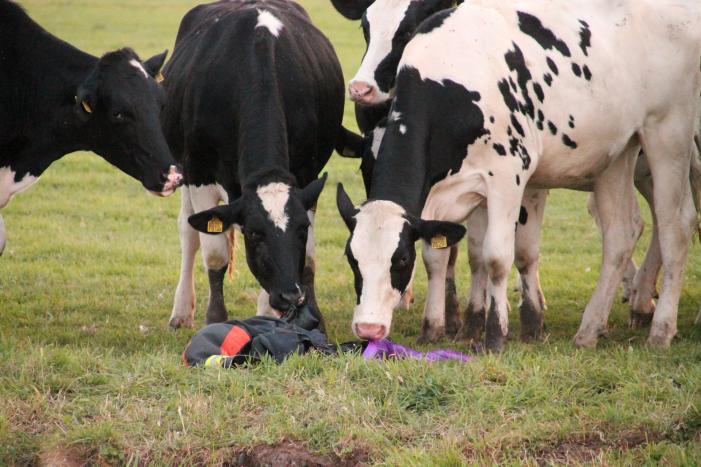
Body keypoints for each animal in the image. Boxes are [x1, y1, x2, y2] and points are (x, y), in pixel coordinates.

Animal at [162, 0, 345, 329]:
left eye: (300, 229)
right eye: (255, 234)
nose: (289, 296)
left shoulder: (306, 177)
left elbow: (309, 257)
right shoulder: (199, 174)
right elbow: (215, 254)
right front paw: (215, 319)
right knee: (188, 232)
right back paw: (181, 310)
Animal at [336, 0, 701, 351]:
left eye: (399, 260)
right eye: (352, 260)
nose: (368, 328)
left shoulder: (508, 175)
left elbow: (497, 256)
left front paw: (495, 335)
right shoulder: (446, 193)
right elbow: (440, 254)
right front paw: (434, 328)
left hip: (668, 134)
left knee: (676, 226)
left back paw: (660, 329)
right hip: (617, 153)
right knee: (620, 234)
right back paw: (589, 330)